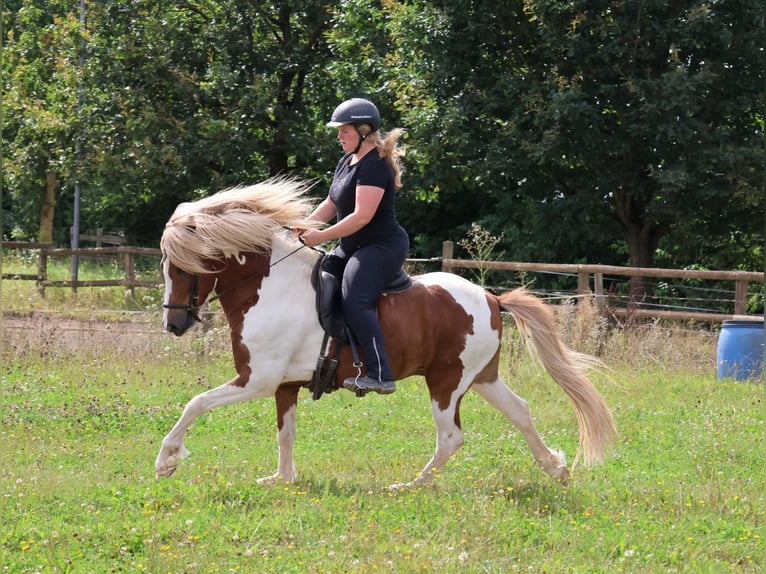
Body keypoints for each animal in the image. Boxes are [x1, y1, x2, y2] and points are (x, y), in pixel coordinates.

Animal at [158, 178, 616, 488]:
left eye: (179, 266)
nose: (173, 325)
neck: (271, 287)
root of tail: (490, 297)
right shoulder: (284, 384)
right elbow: (285, 433)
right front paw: (282, 479)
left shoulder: (257, 379)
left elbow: (196, 403)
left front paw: (166, 460)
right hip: (481, 377)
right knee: (519, 411)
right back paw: (557, 468)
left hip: (446, 382)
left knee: (451, 437)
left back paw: (410, 486)